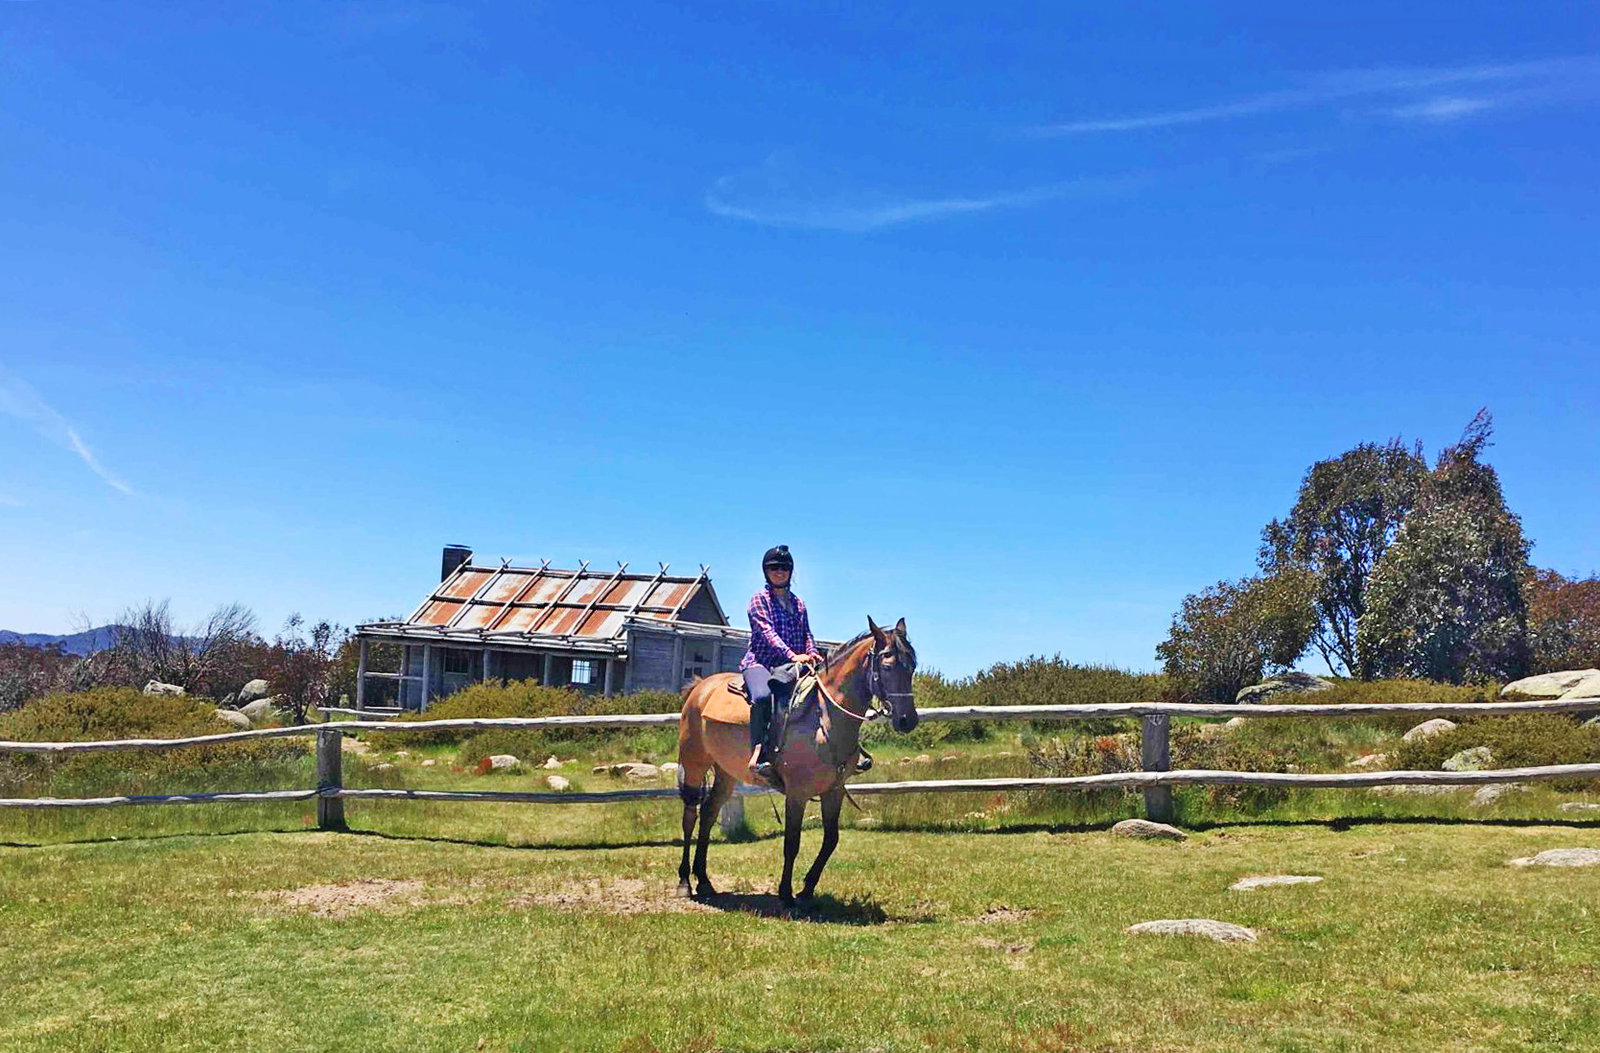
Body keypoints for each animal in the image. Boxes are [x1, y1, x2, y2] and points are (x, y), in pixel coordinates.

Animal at [675, 615, 919, 905]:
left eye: (912, 666)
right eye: (888, 665)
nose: (907, 720)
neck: (824, 717)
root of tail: (699, 687)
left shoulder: (834, 790)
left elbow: (831, 839)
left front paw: (807, 890)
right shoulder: (797, 792)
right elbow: (792, 842)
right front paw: (786, 893)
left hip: (726, 772)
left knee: (709, 813)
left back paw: (704, 881)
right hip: (694, 763)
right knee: (690, 815)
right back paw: (684, 882)